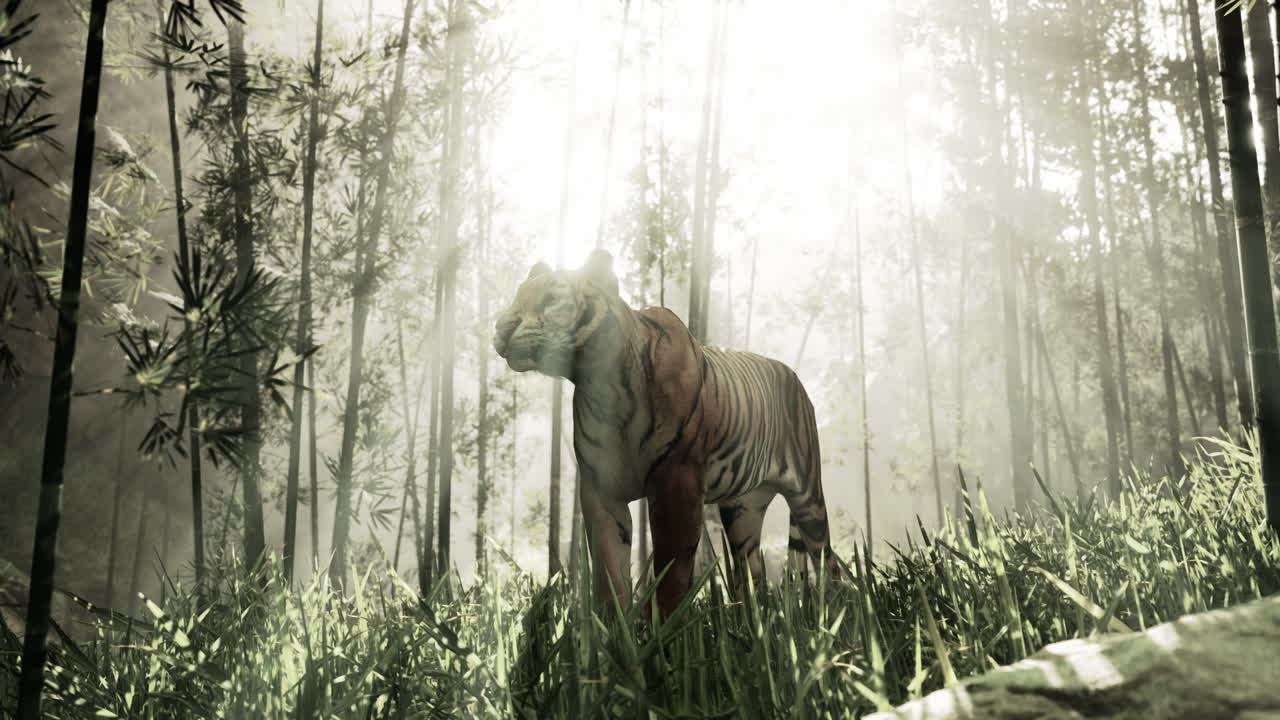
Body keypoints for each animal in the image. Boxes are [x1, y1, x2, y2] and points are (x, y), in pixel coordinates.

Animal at [492, 249, 844, 619]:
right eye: (517, 297)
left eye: (552, 298)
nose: (501, 327)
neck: (600, 382)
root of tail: (793, 374)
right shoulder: (600, 488)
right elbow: (608, 569)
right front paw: (613, 628)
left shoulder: (677, 479)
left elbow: (671, 569)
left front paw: (666, 628)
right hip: (743, 510)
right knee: (752, 572)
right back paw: (752, 621)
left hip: (808, 497)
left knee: (827, 558)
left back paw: (835, 614)